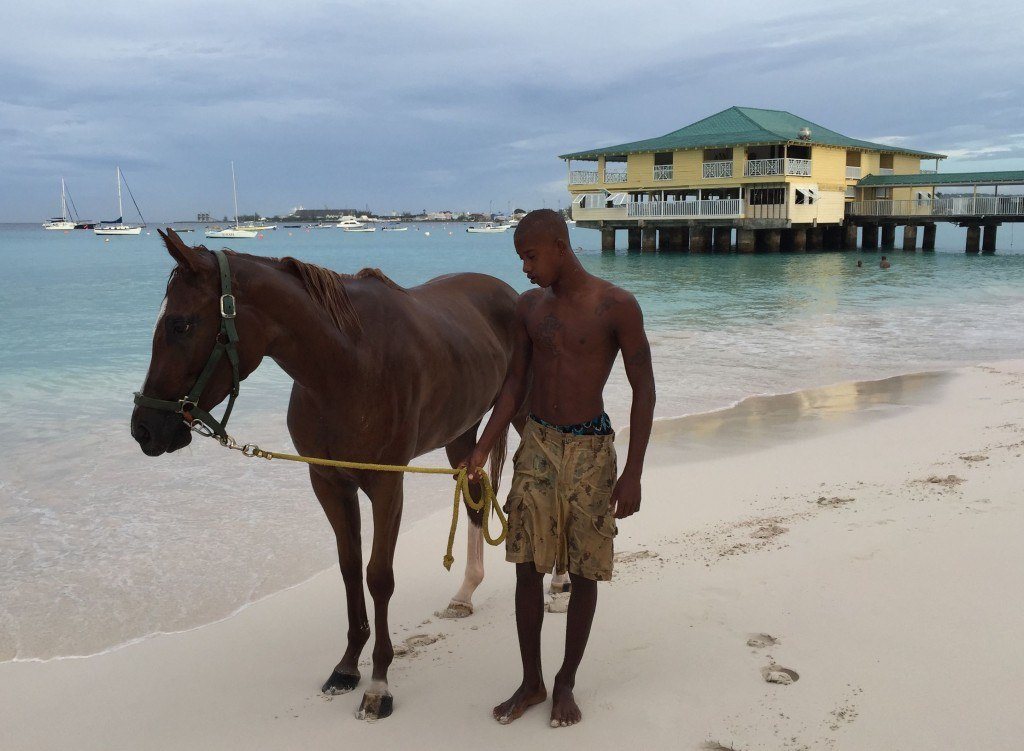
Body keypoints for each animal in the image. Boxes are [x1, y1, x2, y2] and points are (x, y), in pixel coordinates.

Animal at [131, 229, 524, 721]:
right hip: (463, 433)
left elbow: (379, 576)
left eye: (180, 325)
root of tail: (508, 293)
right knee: (473, 493)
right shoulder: (329, 484)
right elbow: (350, 568)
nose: (144, 428)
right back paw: (464, 595)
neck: (349, 365)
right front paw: (347, 666)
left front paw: (379, 684)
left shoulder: (386, 484)